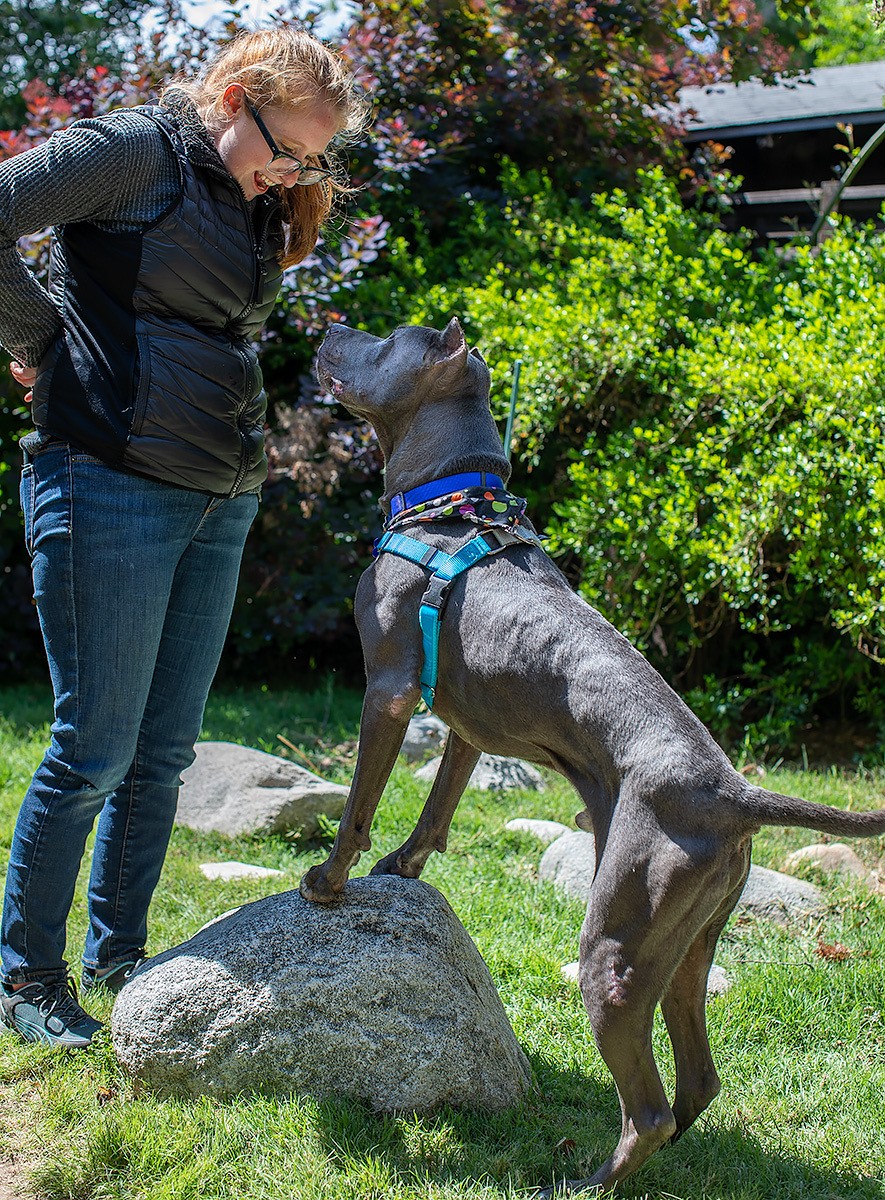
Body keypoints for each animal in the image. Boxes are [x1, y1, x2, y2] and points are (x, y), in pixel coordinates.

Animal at [300, 317, 885, 1193]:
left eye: (384, 339)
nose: (331, 325)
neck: (447, 509)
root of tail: (732, 792)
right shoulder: (466, 724)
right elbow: (437, 805)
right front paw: (403, 866)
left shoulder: (391, 689)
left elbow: (358, 806)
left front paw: (329, 882)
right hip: (685, 940)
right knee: (694, 1080)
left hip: (613, 941)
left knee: (646, 1107)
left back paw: (589, 1181)